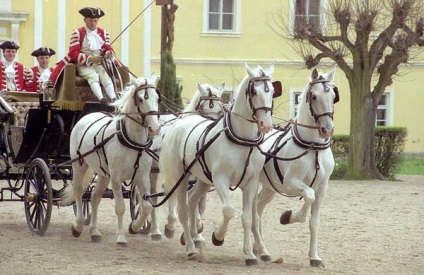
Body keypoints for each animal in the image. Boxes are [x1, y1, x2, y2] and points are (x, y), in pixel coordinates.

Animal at [61, 73, 162, 246]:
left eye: (157, 98)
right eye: (140, 99)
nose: (155, 128)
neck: (132, 141)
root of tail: (87, 116)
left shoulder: (142, 177)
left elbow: (147, 206)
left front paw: (134, 227)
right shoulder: (116, 178)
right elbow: (120, 207)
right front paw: (121, 237)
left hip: (103, 174)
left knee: (94, 197)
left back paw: (94, 232)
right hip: (80, 165)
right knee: (79, 192)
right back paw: (78, 226)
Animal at [138, 81, 225, 240]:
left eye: (220, 110)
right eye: (203, 109)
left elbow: (199, 203)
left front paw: (197, 230)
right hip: (152, 171)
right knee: (151, 195)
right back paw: (154, 229)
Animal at [159, 63, 274, 266]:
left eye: (273, 91)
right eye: (254, 91)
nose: (266, 125)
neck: (242, 140)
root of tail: (179, 124)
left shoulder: (251, 183)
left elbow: (247, 218)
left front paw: (249, 255)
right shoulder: (220, 179)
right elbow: (228, 210)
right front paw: (218, 236)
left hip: (204, 180)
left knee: (192, 201)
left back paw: (194, 237)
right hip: (181, 177)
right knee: (182, 210)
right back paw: (190, 247)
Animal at [256, 68, 340, 268]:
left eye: (333, 96)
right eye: (314, 96)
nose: (327, 129)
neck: (312, 147)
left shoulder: (322, 188)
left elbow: (314, 222)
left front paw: (314, 257)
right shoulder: (290, 183)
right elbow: (308, 197)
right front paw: (288, 217)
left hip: (269, 188)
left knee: (257, 208)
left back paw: (259, 248)